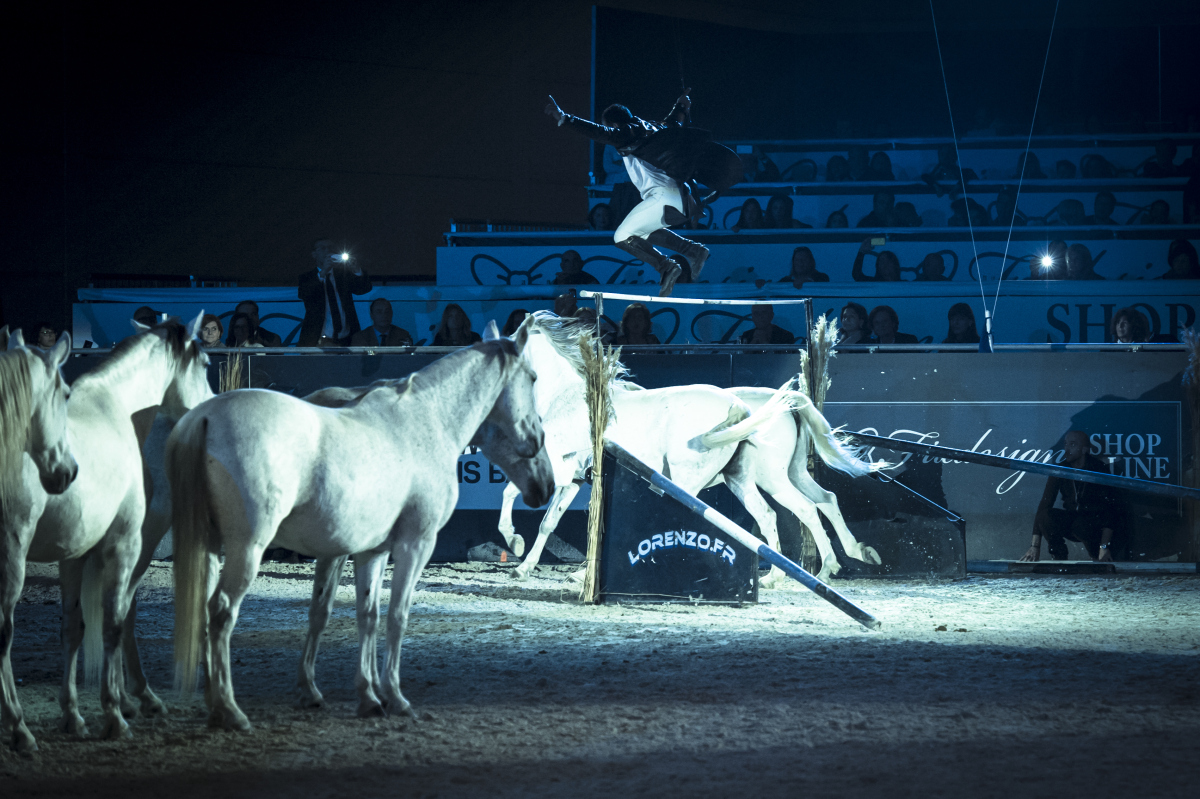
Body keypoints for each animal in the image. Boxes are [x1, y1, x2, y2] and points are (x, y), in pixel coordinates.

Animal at [19, 315, 213, 746]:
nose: (211, 401)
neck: (114, 406)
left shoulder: (73, 554)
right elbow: (115, 619)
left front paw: (75, 714)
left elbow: (74, 627)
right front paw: (116, 710)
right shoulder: (126, 544)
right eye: (207, 363)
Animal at [168, 323, 554, 730]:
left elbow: (367, 615)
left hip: (209, 546)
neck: (428, 419)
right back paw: (228, 709)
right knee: (221, 611)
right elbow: (398, 616)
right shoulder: (416, 544)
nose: (546, 481)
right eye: (533, 377)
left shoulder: (372, 551)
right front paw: (396, 697)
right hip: (247, 548)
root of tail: (204, 418)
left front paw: (368, 696)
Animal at [496, 312, 883, 585]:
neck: (566, 396)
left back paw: (796, 572)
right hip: (763, 476)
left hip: (734, 478)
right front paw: (525, 566)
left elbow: (511, 493)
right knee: (812, 504)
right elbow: (548, 522)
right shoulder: (574, 479)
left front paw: (514, 543)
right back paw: (824, 565)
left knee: (800, 509)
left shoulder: (558, 469)